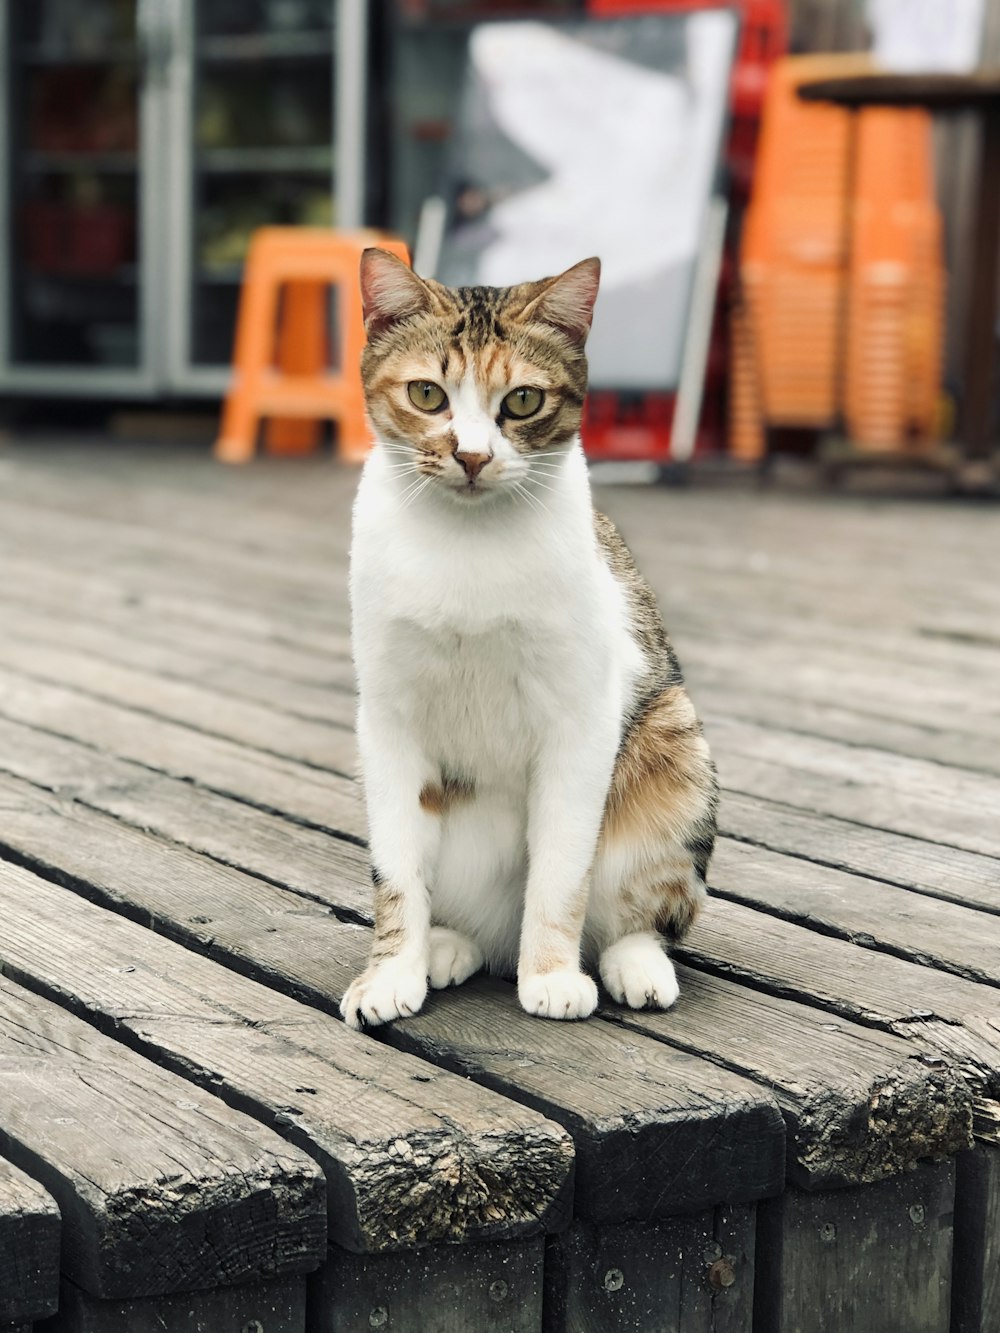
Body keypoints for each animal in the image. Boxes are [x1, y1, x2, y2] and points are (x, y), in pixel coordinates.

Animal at [341, 250, 714, 1029]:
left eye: (520, 402)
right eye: (427, 394)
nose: (472, 456)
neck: (467, 540)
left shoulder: (580, 720)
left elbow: (561, 872)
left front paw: (551, 974)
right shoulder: (387, 720)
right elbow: (396, 870)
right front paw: (390, 971)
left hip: (675, 743)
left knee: (645, 910)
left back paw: (634, 963)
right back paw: (448, 946)